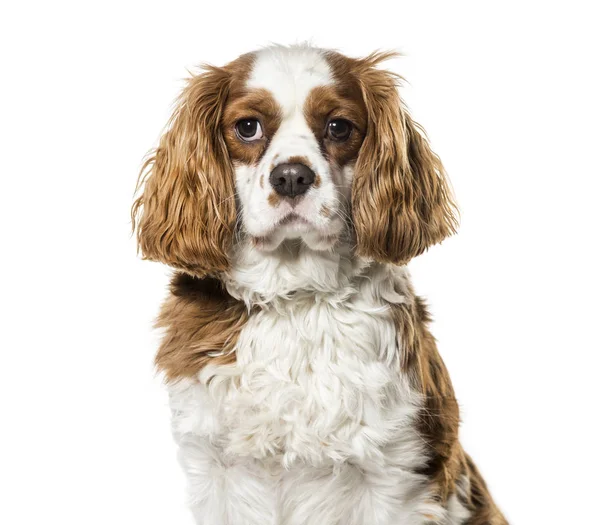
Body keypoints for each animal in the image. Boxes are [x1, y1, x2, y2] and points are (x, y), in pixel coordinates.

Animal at [131, 44, 506, 524]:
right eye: (247, 127)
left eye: (338, 126)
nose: (292, 176)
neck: (296, 299)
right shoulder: (214, 468)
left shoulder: (397, 474)